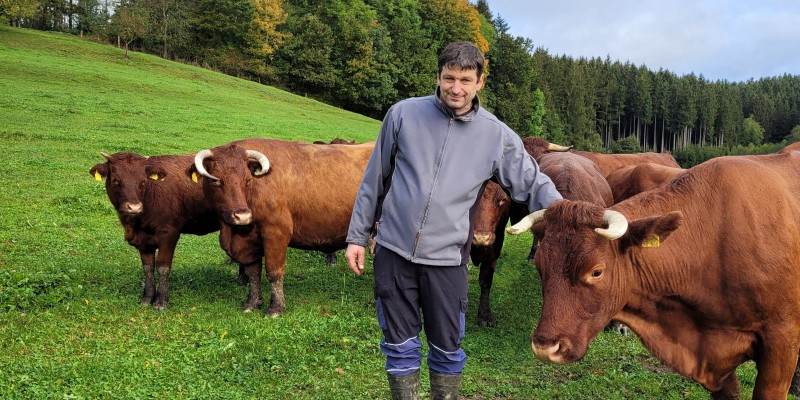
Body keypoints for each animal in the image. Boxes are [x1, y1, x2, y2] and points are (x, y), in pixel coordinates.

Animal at [90, 152, 223, 309]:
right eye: (115, 180)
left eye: (143, 181)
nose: (134, 207)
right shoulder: (143, 239)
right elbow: (148, 268)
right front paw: (147, 297)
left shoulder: (169, 233)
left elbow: (163, 266)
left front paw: (161, 300)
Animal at [188, 138, 374, 317]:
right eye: (215, 180)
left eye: (247, 180)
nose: (242, 216)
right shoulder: (249, 242)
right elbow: (253, 273)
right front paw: (252, 303)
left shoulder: (276, 233)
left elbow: (274, 272)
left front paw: (276, 308)